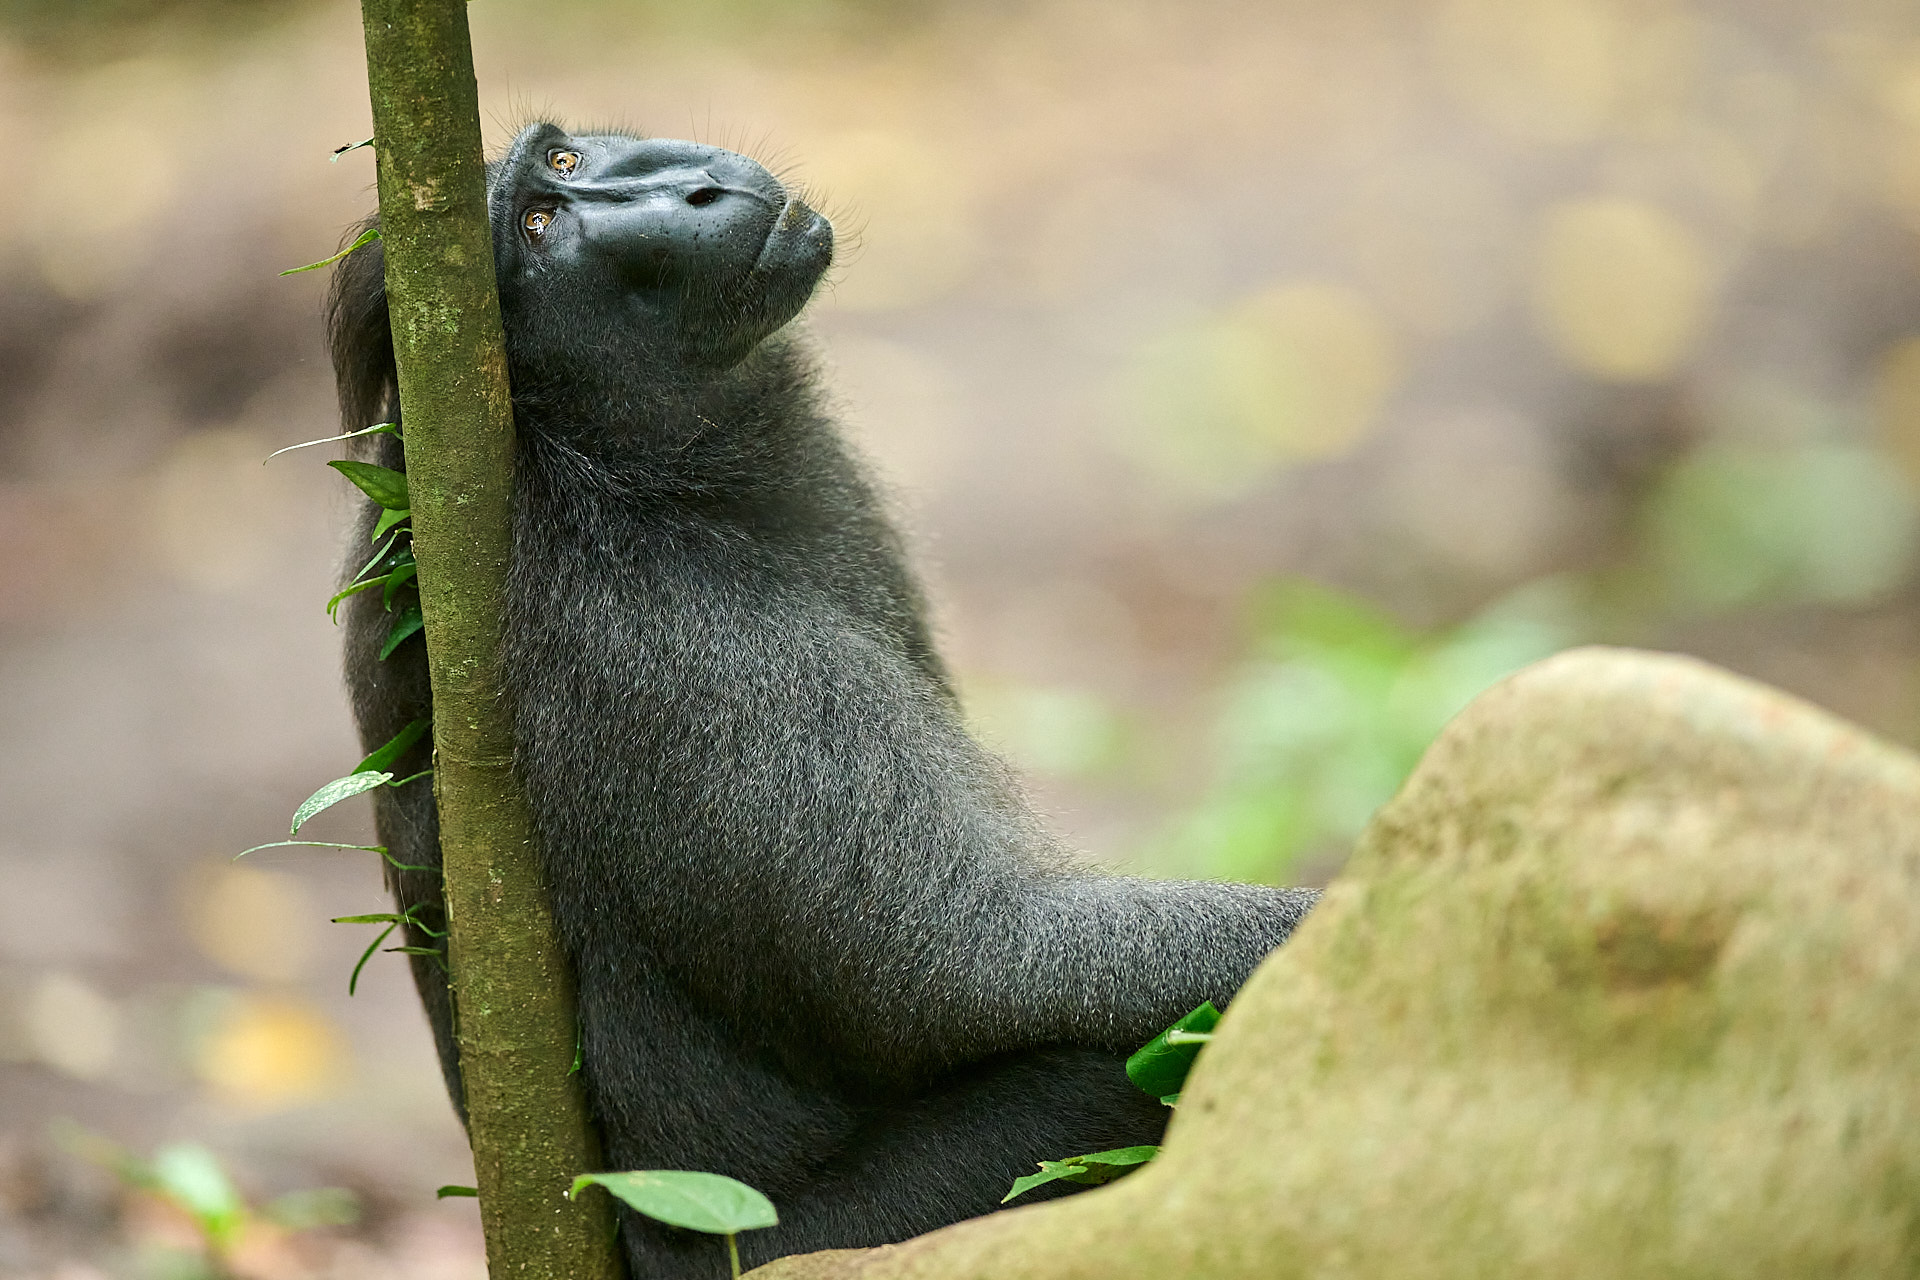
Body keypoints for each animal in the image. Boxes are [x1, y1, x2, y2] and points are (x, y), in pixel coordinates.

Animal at [331, 122, 1319, 1278]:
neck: (621, 470)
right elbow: (970, 959)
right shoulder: (676, 648)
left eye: (565, 162)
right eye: (538, 226)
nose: (694, 182)